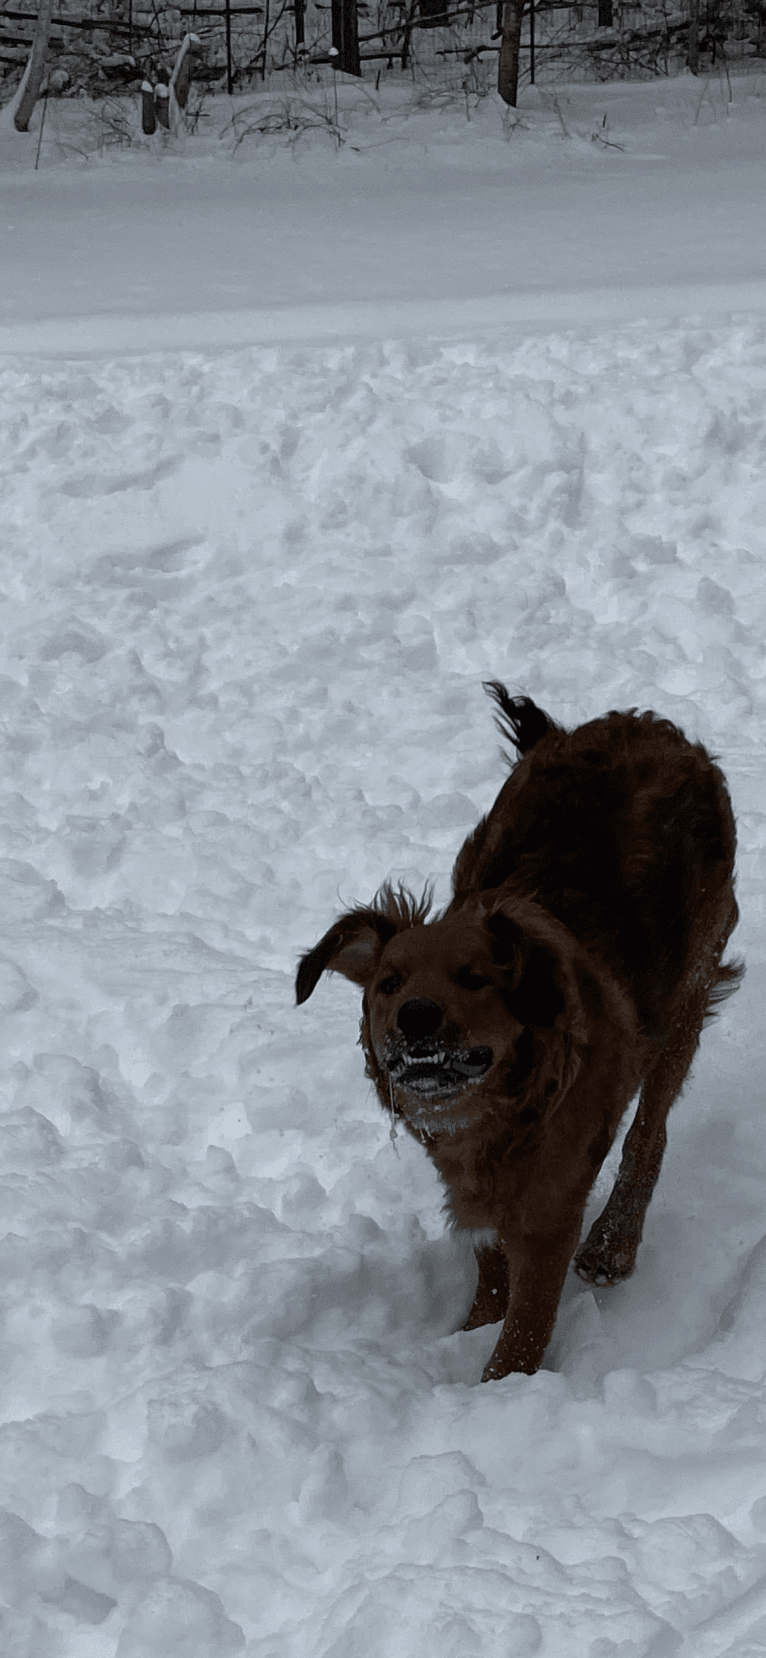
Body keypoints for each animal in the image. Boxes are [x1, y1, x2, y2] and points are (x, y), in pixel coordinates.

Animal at [295, 679, 742, 1379]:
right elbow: (492, 1279)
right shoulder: (473, 1191)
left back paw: (614, 1245)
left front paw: (493, 1389)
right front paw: (467, 1333)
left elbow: (523, 1335)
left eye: (474, 977)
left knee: (650, 1132)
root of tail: (648, 725)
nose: (414, 1016)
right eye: (389, 983)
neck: (497, 1109)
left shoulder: (548, 1213)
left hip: (688, 995)